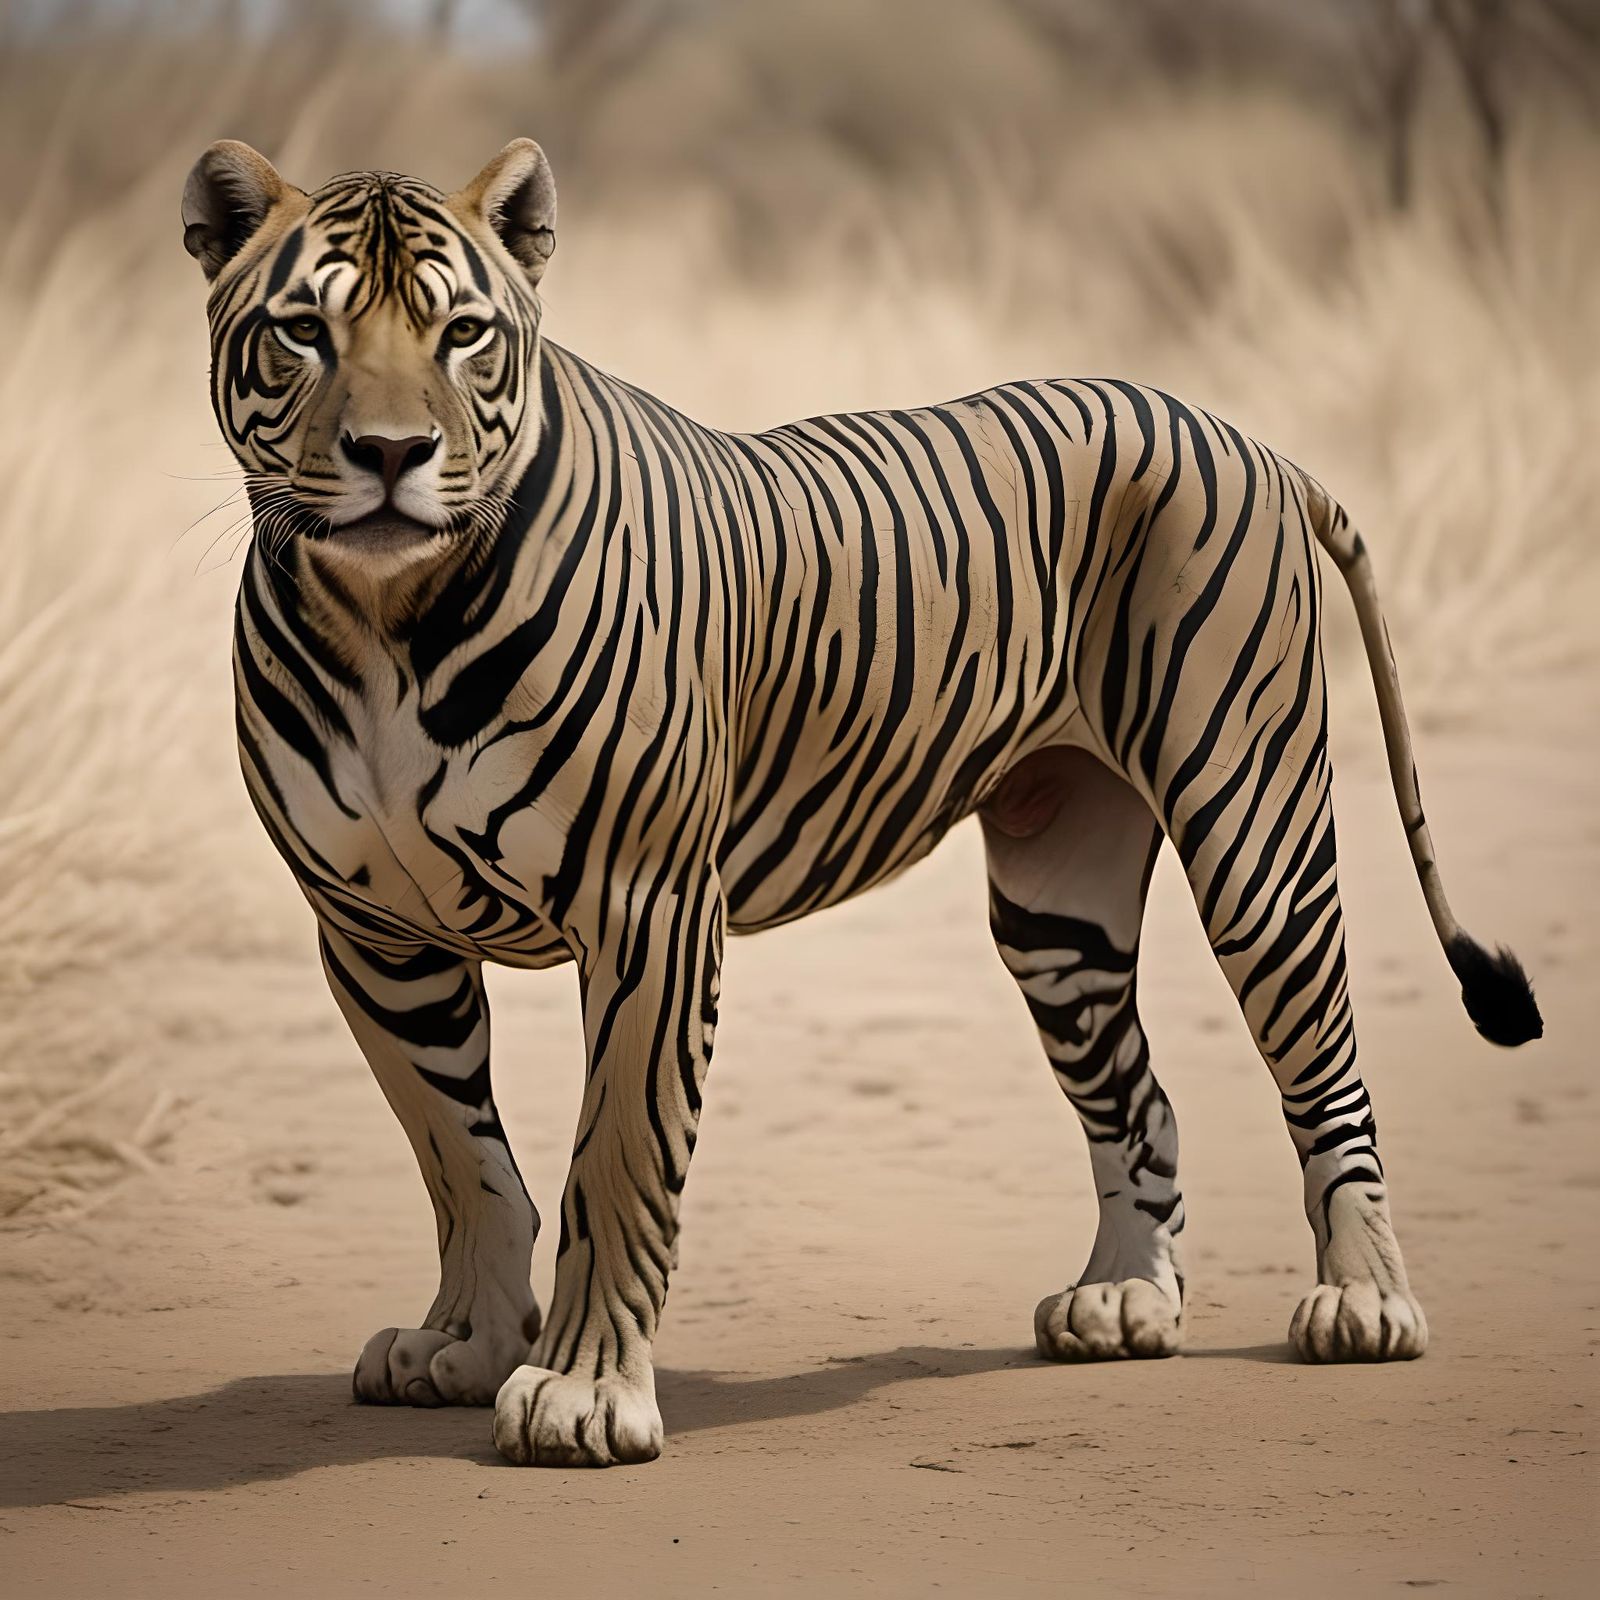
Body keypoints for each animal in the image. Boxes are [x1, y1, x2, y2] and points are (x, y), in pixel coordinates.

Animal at [181, 137, 1541, 1468]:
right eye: (304, 331)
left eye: (461, 333)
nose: (391, 456)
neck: (384, 619)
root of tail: (1232, 428)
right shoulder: (373, 930)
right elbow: (457, 1154)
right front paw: (463, 1343)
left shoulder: (645, 909)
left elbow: (615, 1162)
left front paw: (580, 1392)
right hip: (1057, 908)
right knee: (1138, 1097)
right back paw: (1123, 1298)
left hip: (1252, 831)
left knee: (1327, 1073)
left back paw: (1364, 1301)